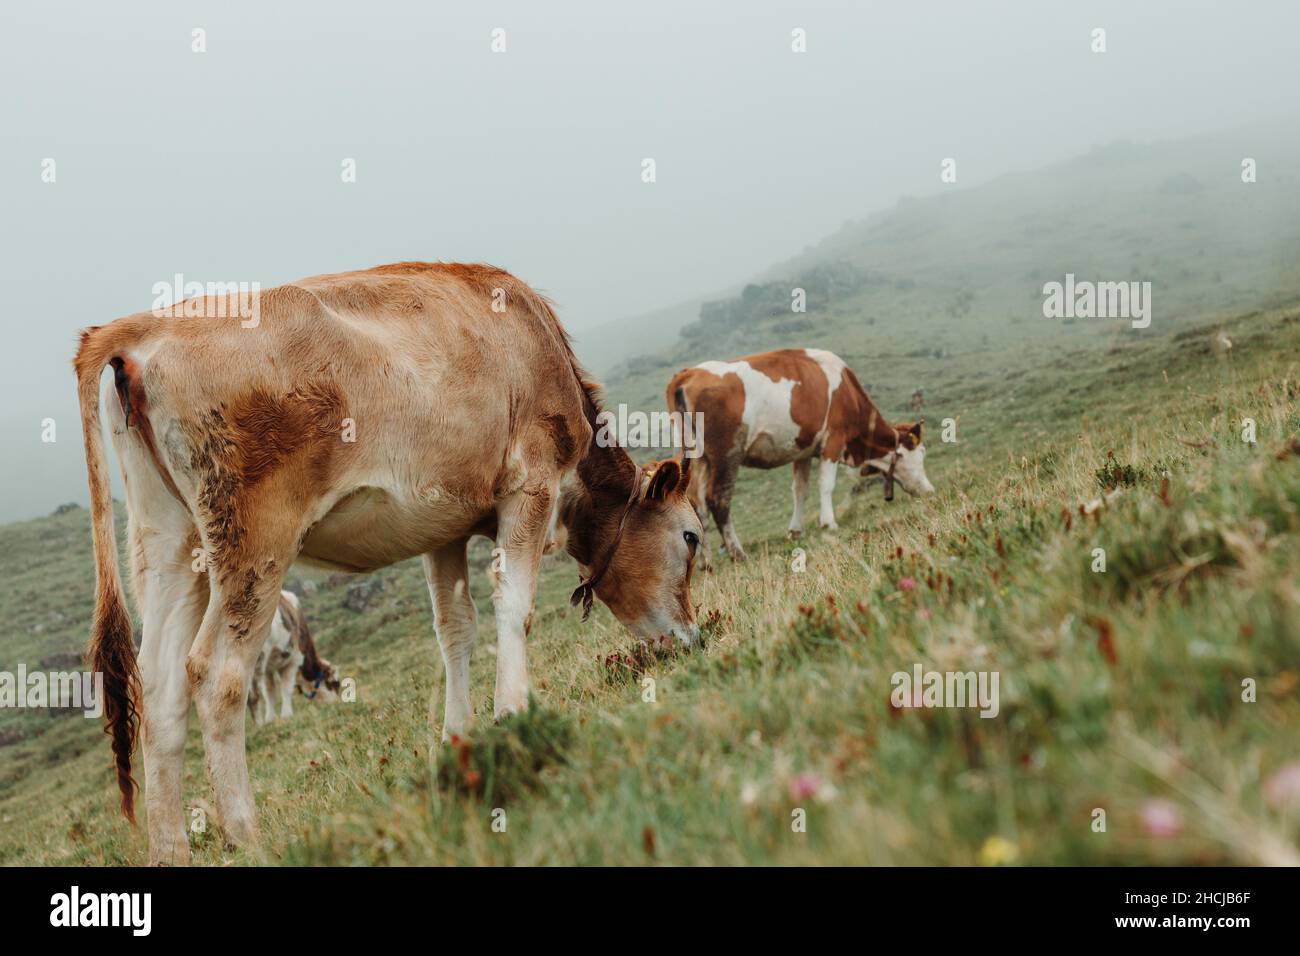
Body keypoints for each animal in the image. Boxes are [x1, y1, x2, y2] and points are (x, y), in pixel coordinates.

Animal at [245, 590, 340, 723]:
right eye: (335, 683)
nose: (337, 702)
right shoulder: (294, 660)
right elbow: (286, 689)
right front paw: (286, 716)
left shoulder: (268, 669)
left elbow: (269, 693)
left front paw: (270, 719)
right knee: (251, 696)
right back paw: (258, 724)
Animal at [665, 348, 930, 561]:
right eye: (919, 453)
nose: (929, 490)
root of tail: (686, 374)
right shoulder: (833, 440)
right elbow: (826, 484)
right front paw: (829, 522)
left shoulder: (803, 450)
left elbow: (800, 490)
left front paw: (795, 530)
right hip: (726, 453)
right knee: (718, 499)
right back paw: (737, 552)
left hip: (698, 457)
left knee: (697, 504)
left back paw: (704, 560)